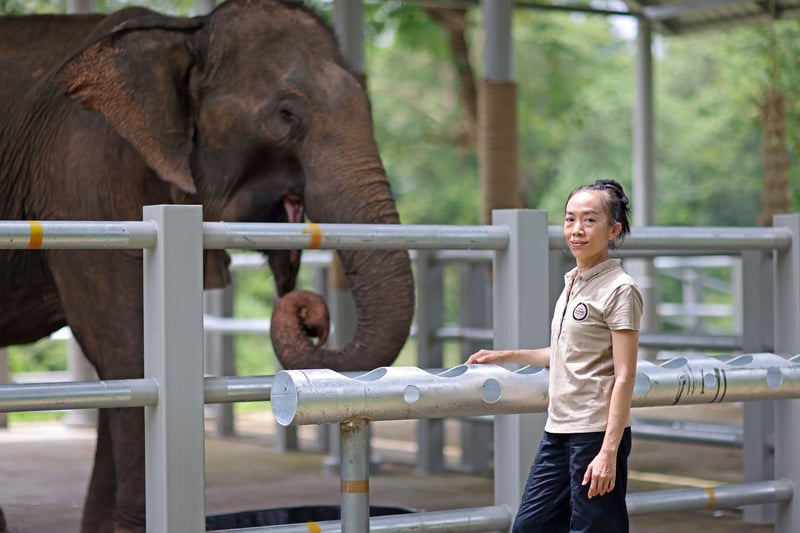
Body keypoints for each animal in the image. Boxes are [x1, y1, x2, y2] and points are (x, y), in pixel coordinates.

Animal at [0, 1, 416, 531]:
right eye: (286, 114)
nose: (309, 314)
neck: (187, 33)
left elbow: (123, 365)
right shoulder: (85, 177)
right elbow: (127, 352)